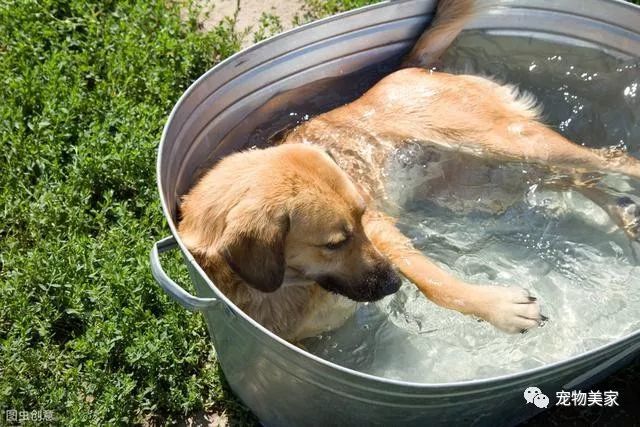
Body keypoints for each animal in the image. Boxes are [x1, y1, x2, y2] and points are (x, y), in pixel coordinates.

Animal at [178, 0, 640, 342]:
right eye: (333, 244)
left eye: (361, 218)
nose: (392, 285)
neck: (290, 288)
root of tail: (404, 70)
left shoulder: (383, 234)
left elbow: (433, 281)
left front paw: (501, 310)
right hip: (483, 184)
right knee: (576, 178)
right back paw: (625, 214)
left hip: (509, 142)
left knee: (612, 159)